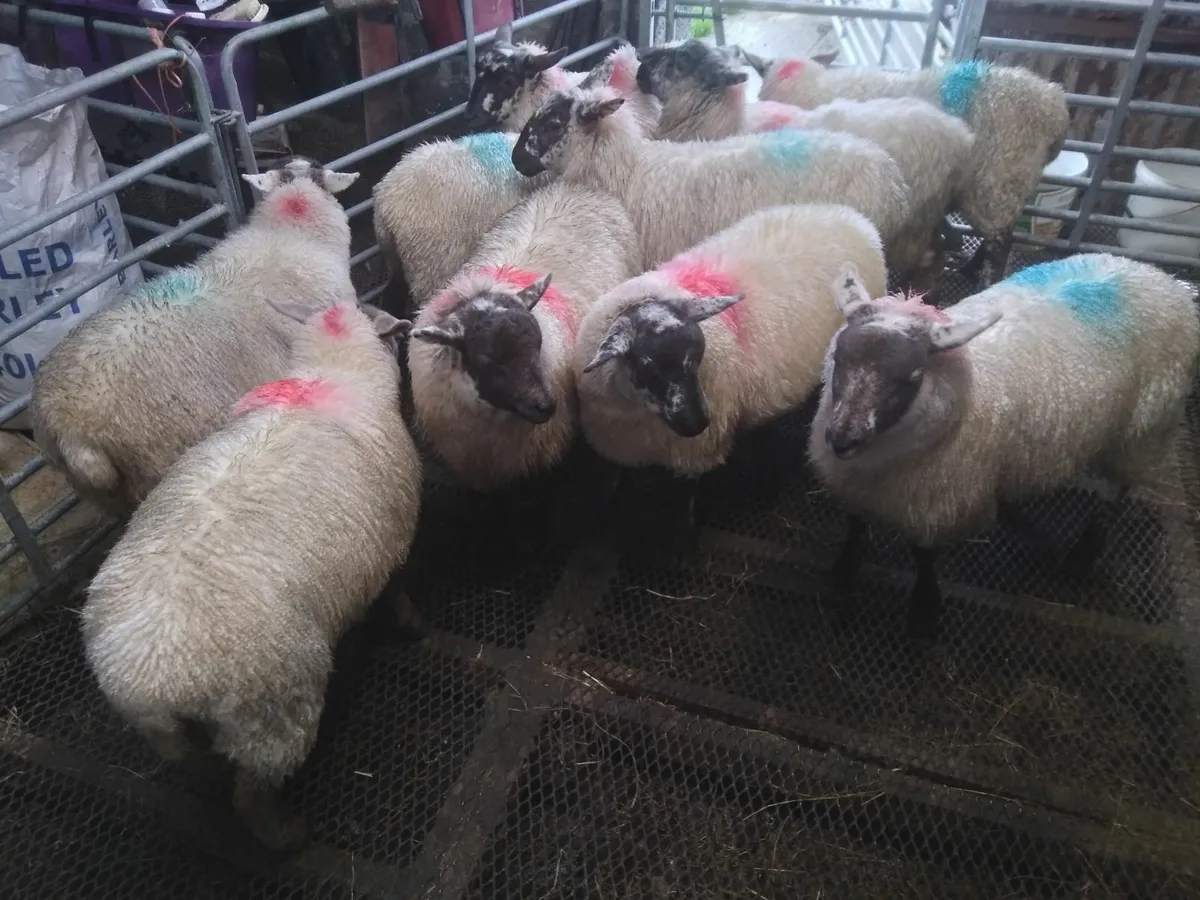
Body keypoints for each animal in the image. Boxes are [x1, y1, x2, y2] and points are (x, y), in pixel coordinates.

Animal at [81, 298, 421, 852]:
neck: (330, 376)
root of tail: (150, 684)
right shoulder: (388, 543)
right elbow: (396, 592)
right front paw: (412, 626)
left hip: (181, 735)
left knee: (201, 768)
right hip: (271, 709)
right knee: (253, 791)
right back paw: (286, 835)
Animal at [737, 48, 1070, 285]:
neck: (808, 87)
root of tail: (1054, 103)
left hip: (999, 181)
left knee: (1000, 243)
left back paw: (983, 281)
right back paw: (965, 268)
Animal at [809, 253, 1200, 644]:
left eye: (913, 377)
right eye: (840, 358)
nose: (842, 438)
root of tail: (1160, 277)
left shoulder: (939, 503)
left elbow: (924, 556)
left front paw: (923, 612)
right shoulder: (854, 484)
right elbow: (856, 525)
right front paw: (842, 573)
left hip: (1142, 431)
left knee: (1116, 492)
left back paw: (1084, 551)